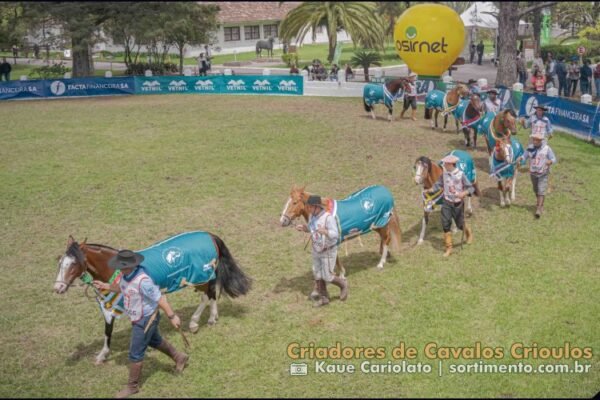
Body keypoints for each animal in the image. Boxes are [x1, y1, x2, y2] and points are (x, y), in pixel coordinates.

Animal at [51, 231, 248, 366]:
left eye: (74, 263)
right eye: (60, 263)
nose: (58, 288)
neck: (118, 269)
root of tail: (209, 235)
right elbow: (108, 330)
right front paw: (102, 355)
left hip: (202, 276)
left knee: (209, 295)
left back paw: (200, 321)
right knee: (209, 295)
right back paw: (206, 319)